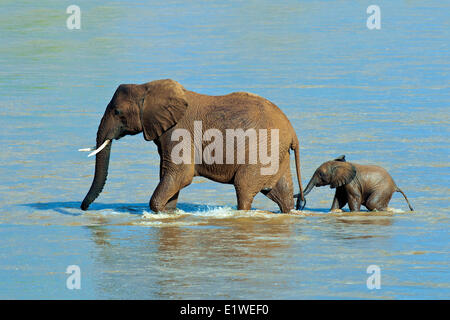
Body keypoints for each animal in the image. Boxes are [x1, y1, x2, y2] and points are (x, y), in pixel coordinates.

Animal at [80, 79, 306, 212]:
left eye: (117, 112)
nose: (83, 208)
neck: (147, 87)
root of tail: (292, 132)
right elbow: (168, 176)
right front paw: (169, 213)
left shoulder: (178, 131)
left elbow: (180, 174)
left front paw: (158, 210)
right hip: (276, 154)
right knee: (281, 194)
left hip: (263, 151)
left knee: (243, 188)